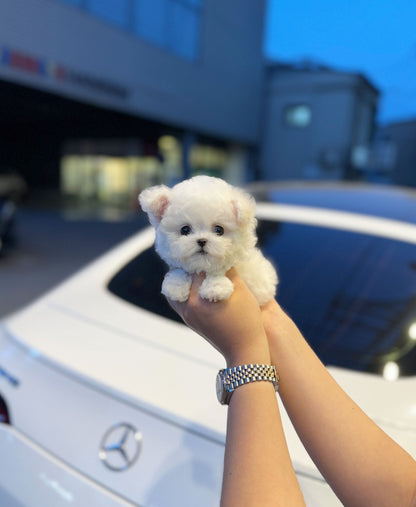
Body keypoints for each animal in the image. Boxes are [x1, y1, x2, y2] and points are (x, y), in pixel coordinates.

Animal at [138, 176, 278, 306]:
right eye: (185, 230)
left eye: (219, 230)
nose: (201, 241)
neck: (202, 268)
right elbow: (180, 270)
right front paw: (176, 285)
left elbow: (218, 271)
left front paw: (216, 288)